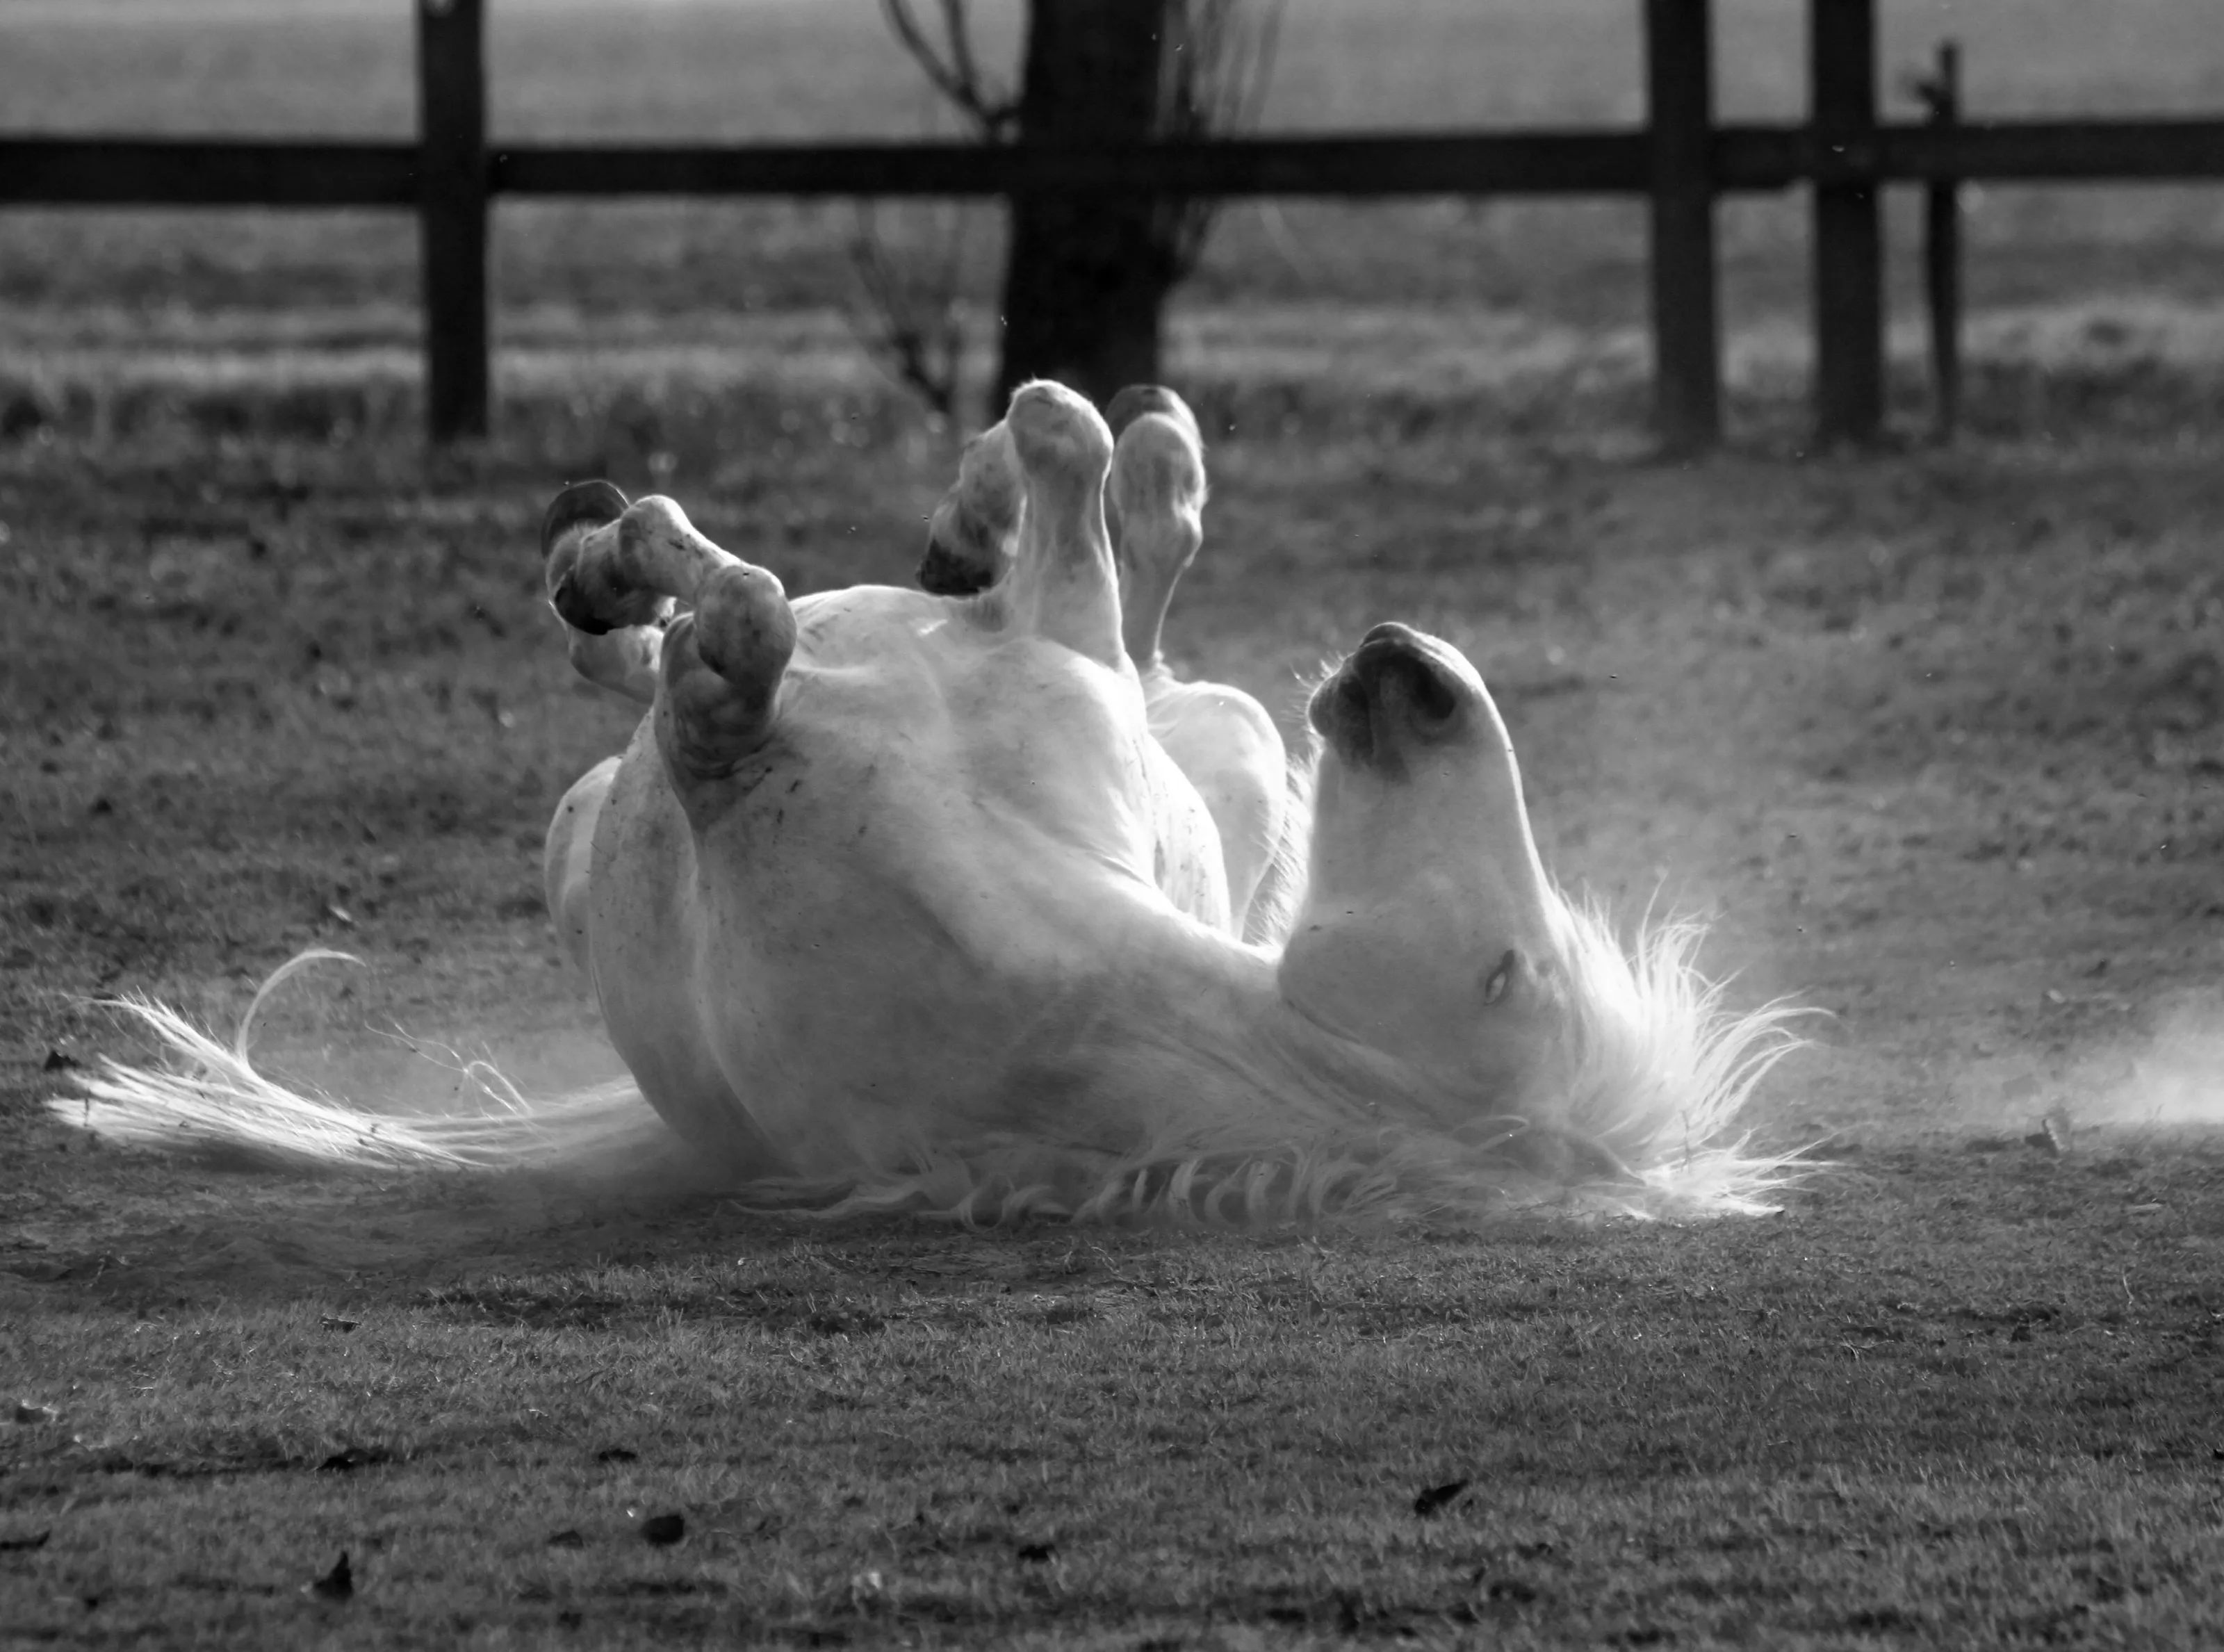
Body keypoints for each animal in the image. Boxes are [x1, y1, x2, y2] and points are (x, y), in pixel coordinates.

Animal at [64, 381, 1801, 1223]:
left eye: (1518, 973)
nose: (1409, 662)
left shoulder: (772, 752)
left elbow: (749, 622)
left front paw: (637, 571)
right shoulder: (1066, 683)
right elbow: (1051, 454)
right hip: (1223, 745)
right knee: (1143, 607)